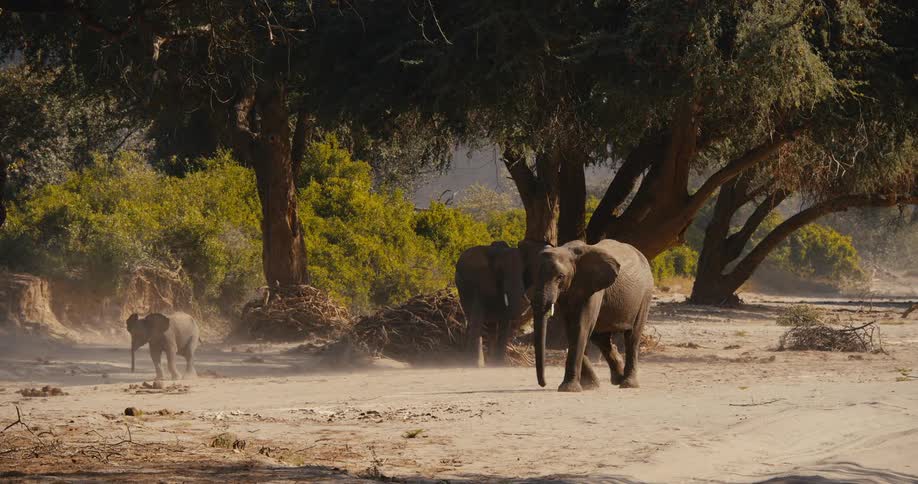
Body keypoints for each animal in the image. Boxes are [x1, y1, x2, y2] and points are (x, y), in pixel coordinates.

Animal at [530, 239, 654, 392]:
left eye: (560, 277)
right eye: (533, 276)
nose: (544, 383)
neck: (567, 250)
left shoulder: (593, 288)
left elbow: (581, 327)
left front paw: (568, 389)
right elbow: (571, 329)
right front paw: (590, 386)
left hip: (645, 294)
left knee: (632, 337)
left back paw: (628, 384)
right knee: (600, 338)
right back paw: (617, 377)